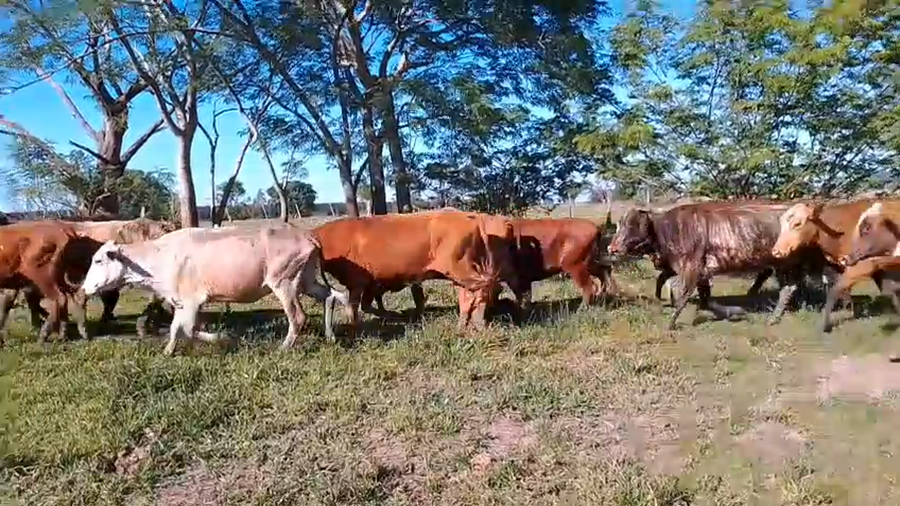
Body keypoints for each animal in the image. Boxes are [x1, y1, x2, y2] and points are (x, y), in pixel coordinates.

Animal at [79, 224, 348, 356]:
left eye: (99, 260)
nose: (84, 287)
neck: (157, 259)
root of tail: (307, 235)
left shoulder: (192, 300)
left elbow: (189, 329)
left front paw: (224, 338)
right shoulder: (180, 302)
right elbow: (176, 329)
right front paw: (167, 351)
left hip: (284, 282)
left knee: (299, 317)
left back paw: (283, 348)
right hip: (306, 279)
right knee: (333, 296)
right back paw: (331, 337)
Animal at [313, 209, 516, 333]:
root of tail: (472, 219)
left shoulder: (357, 283)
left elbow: (354, 308)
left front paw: (356, 327)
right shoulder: (371, 284)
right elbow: (366, 305)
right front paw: (393, 316)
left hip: (461, 270)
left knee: (483, 289)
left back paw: (476, 324)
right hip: (463, 273)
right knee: (472, 294)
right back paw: (466, 324)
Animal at [609, 201, 829, 330]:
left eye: (632, 224)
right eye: (619, 224)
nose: (612, 247)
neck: (669, 229)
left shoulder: (692, 267)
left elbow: (683, 297)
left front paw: (670, 324)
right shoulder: (700, 271)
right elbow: (703, 298)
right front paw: (732, 311)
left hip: (784, 262)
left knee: (789, 286)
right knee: (788, 286)